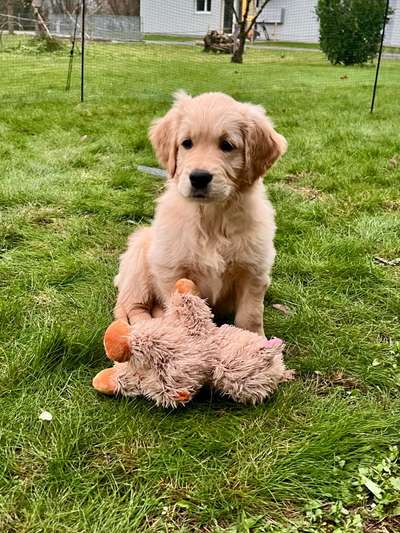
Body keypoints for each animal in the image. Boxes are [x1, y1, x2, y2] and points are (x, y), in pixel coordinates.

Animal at [114, 91, 286, 332]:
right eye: (187, 143)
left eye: (227, 145)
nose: (199, 177)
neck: (212, 216)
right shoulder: (172, 269)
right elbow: (179, 307)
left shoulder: (253, 270)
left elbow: (250, 316)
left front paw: (255, 338)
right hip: (139, 261)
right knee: (132, 307)